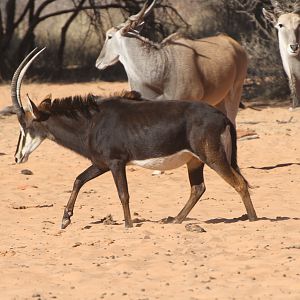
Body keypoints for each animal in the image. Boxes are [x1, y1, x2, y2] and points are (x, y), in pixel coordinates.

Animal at [10, 48, 256, 230]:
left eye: (25, 125)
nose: (17, 157)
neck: (92, 122)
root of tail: (222, 117)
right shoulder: (101, 163)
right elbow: (78, 180)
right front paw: (65, 219)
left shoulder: (116, 162)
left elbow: (123, 194)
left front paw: (128, 225)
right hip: (194, 161)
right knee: (198, 188)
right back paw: (176, 220)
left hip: (212, 156)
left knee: (239, 183)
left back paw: (253, 219)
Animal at [95, 0, 247, 125]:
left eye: (109, 36)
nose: (98, 62)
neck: (162, 67)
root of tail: (235, 44)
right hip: (219, 99)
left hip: (235, 91)